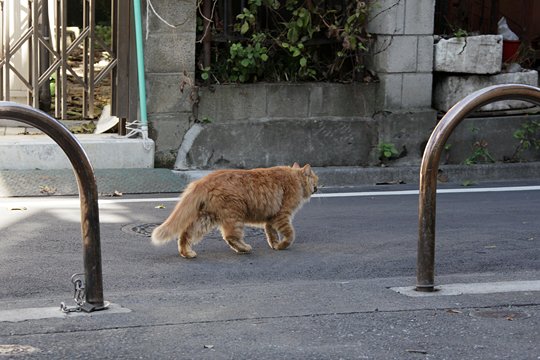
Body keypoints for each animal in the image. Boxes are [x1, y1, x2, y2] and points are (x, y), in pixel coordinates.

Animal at [151, 163, 316, 258]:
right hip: (234, 215)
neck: (295, 177)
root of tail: (204, 180)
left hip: (206, 218)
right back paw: (244, 248)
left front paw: (275, 245)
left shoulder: (270, 219)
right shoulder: (282, 215)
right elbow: (290, 234)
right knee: (230, 236)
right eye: (316, 179)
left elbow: (271, 235)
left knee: (185, 233)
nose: (317, 187)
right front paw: (282, 245)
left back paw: (187, 253)